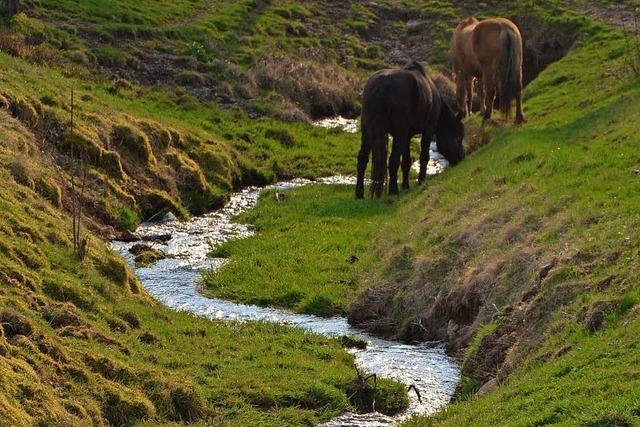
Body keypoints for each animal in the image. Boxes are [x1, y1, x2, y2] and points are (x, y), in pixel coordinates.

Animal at [356, 61, 464, 199]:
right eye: (458, 137)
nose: (461, 157)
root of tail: (380, 86)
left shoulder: (407, 136)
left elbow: (406, 161)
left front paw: (406, 186)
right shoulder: (428, 130)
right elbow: (424, 157)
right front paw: (421, 181)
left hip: (368, 130)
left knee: (362, 158)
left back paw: (359, 193)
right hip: (399, 133)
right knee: (393, 160)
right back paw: (393, 190)